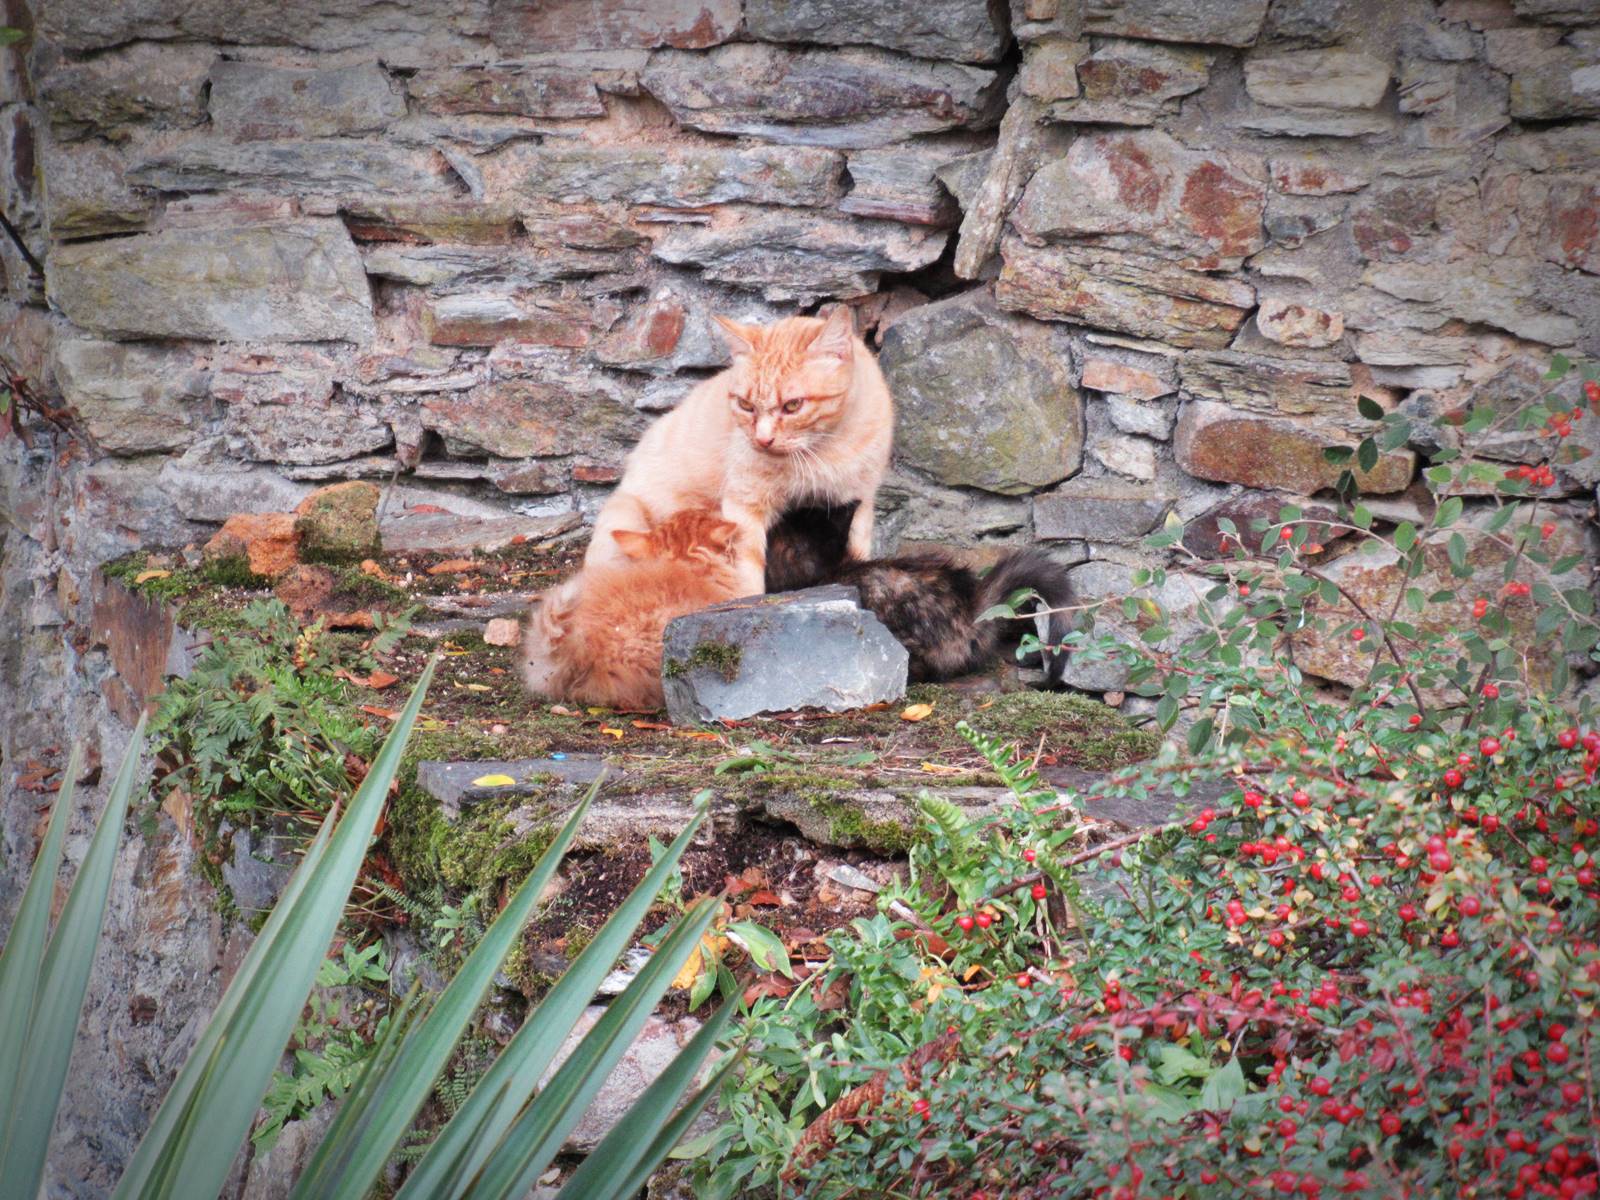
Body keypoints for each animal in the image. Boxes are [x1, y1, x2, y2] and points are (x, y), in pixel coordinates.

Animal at [582, 305, 896, 598]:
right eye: (746, 405)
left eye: (793, 405)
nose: (763, 440)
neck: (825, 448)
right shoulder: (745, 505)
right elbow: (748, 573)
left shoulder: (860, 499)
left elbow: (857, 550)